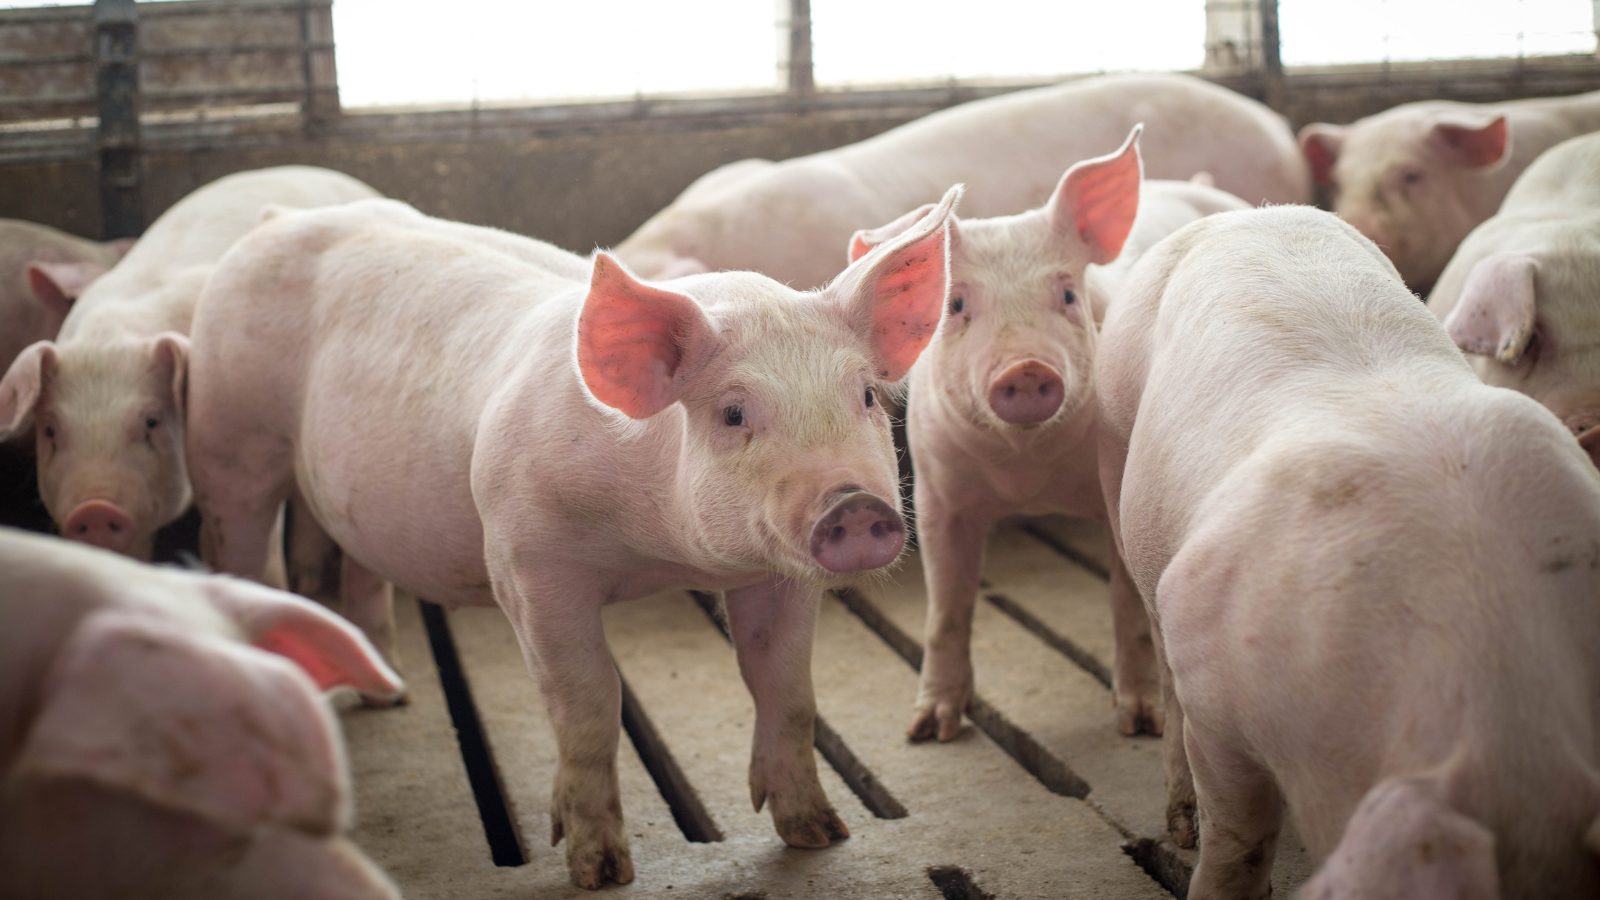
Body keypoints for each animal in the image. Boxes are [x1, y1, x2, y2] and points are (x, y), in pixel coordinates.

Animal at [184, 187, 962, 888]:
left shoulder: (778, 574)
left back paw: (390, 693)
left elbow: (786, 685)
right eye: (734, 413)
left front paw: (821, 835)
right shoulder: (526, 563)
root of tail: (276, 219)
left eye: (866, 396)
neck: (659, 553)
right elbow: (588, 702)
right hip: (229, 438)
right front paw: (601, 871)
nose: (855, 505)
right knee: (241, 544)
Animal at [848, 127, 1250, 740]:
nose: (1027, 368)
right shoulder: (937, 494)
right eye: (957, 303)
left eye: (1066, 295)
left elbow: (1127, 603)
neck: (1026, 476)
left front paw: (1141, 722)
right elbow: (947, 607)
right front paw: (930, 732)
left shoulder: (1113, 489)